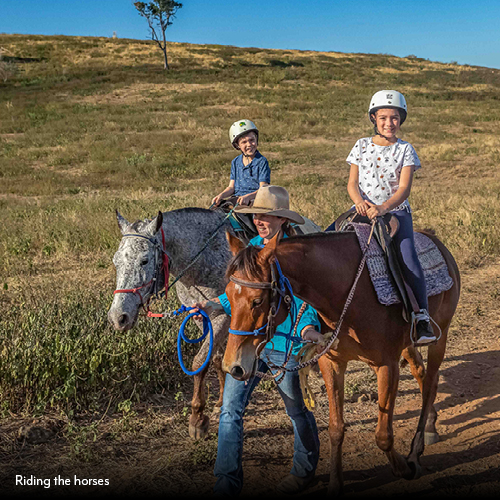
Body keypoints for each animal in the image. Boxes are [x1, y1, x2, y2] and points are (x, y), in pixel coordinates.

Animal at [108, 207, 322, 438]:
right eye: (116, 261)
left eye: (145, 260)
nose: (118, 317)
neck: (201, 262)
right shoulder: (201, 316)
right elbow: (217, 358)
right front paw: (219, 401)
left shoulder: (224, 318)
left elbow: (200, 362)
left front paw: (197, 418)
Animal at [223, 230, 460, 496]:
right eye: (228, 295)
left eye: (256, 301)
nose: (233, 366)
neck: (346, 294)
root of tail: (434, 240)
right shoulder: (332, 363)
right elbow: (336, 428)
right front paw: (336, 484)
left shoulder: (387, 366)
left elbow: (383, 435)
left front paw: (406, 468)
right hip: (408, 345)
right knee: (420, 372)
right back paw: (430, 425)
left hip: (440, 335)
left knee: (431, 382)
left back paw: (417, 448)